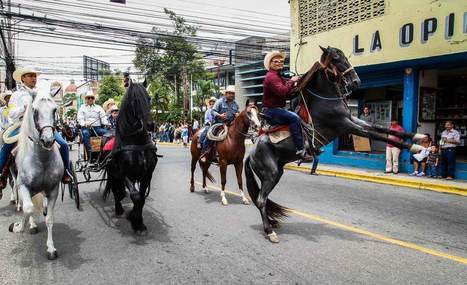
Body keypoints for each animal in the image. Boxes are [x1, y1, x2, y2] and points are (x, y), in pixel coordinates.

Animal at [8, 91, 63, 260]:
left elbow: (50, 219)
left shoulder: (53, 189)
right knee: (26, 203)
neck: (42, 158)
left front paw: (51, 248)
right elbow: (28, 209)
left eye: (54, 109)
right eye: (35, 110)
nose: (48, 140)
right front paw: (18, 227)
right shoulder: (24, 185)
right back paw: (30, 224)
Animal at [104, 82, 159, 233]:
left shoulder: (147, 174)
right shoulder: (125, 174)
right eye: (135, 100)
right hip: (112, 174)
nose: (150, 125)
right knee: (116, 191)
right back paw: (118, 209)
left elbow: (141, 197)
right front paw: (137, 222)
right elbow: (135, 196)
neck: (137, 143)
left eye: (149, 98)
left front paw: (135, 218)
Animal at [245, 46, 428, 242]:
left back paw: (271, 224)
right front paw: (416, 147)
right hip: (270, 174)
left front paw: (419, 137)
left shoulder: (353, 119)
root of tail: (250, 154)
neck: (325, 100)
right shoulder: (345, 125)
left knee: (262, 200)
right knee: (261, 200)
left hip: (277, 174)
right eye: (336, 59)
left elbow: (379, 128)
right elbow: (373, 134)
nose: (356, 81)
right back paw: (269, 231)